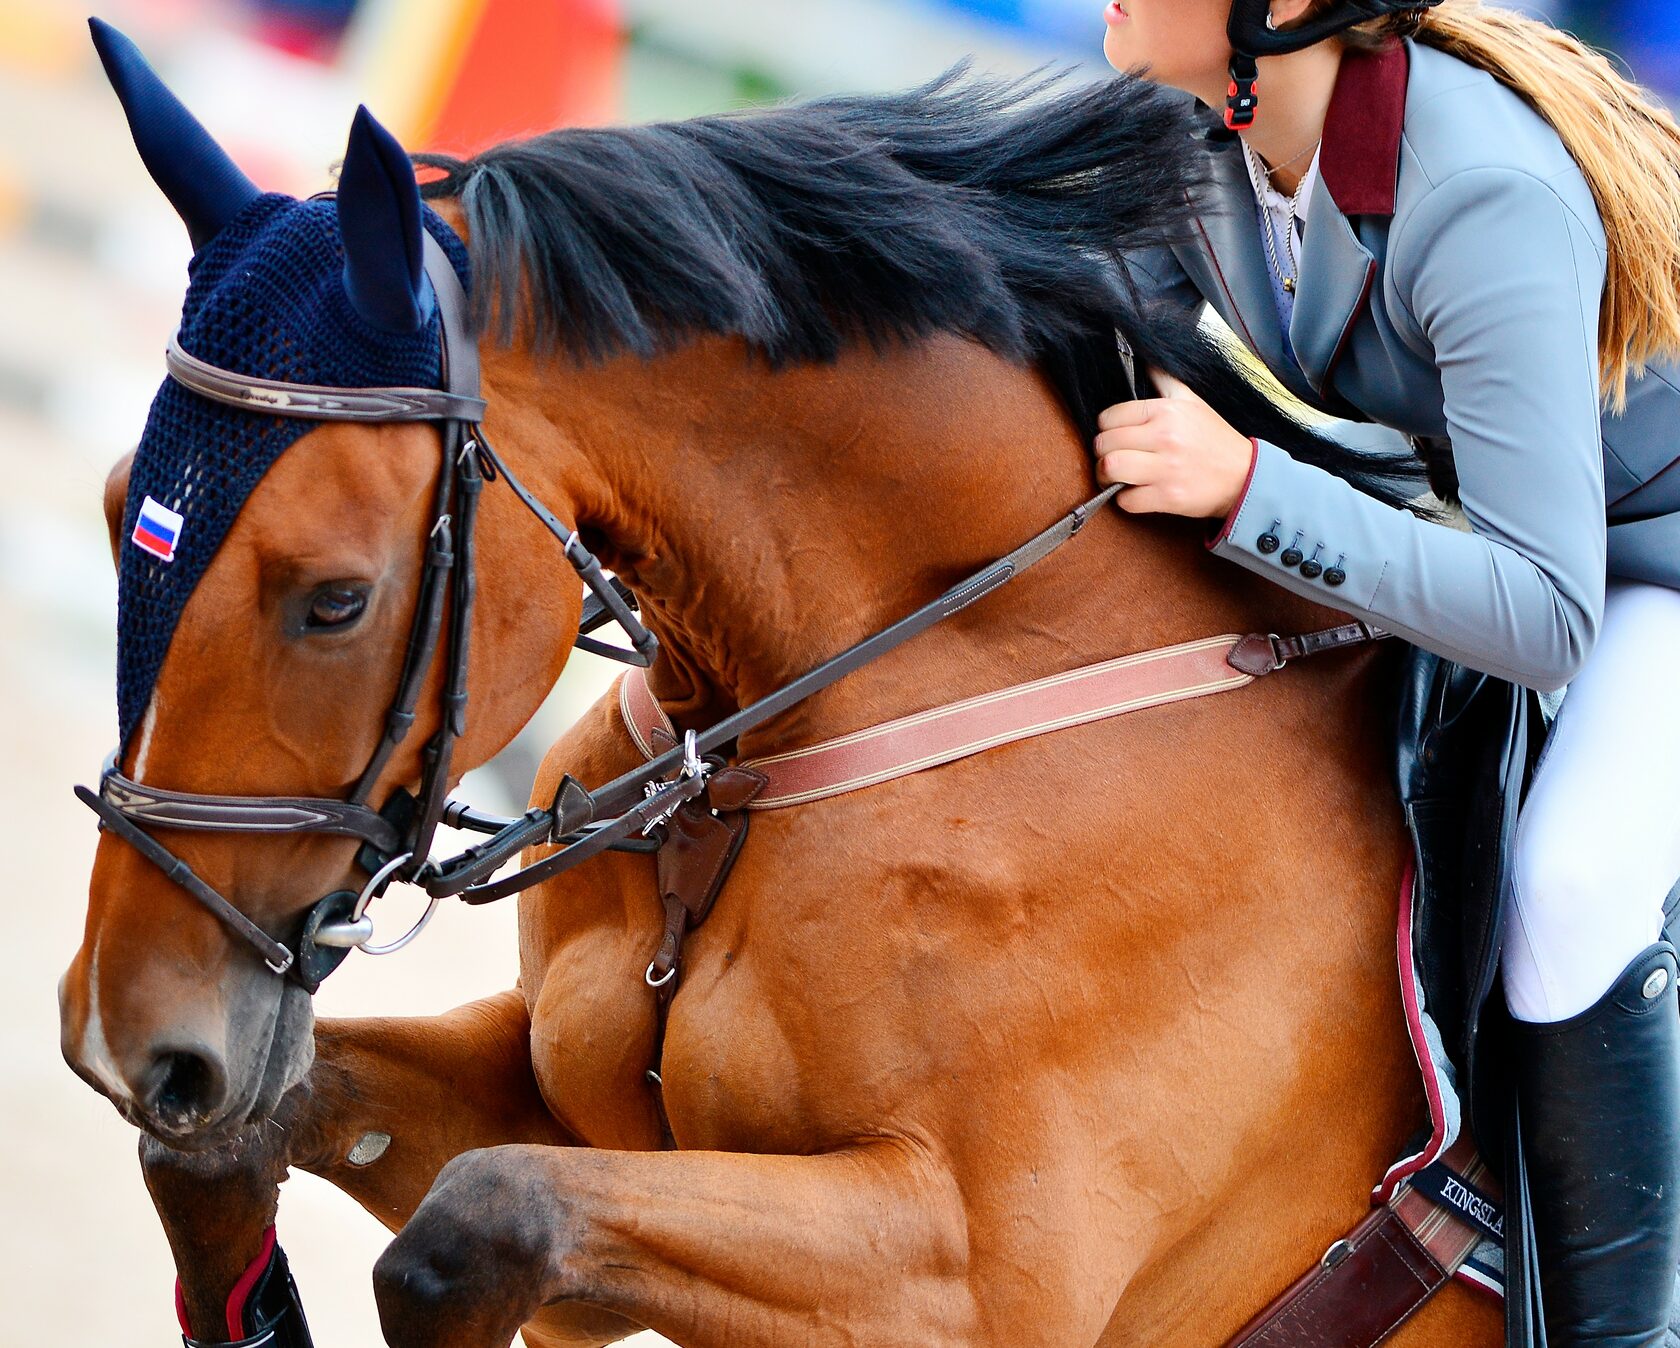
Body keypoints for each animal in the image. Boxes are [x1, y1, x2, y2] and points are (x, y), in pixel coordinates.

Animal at [52, 21, 1505, 1344]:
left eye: (335, 598)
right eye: (121, 506)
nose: (130, 1045)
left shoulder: (974, 1282)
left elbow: (474, 1231)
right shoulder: (555, 1107)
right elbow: (243, 1153)